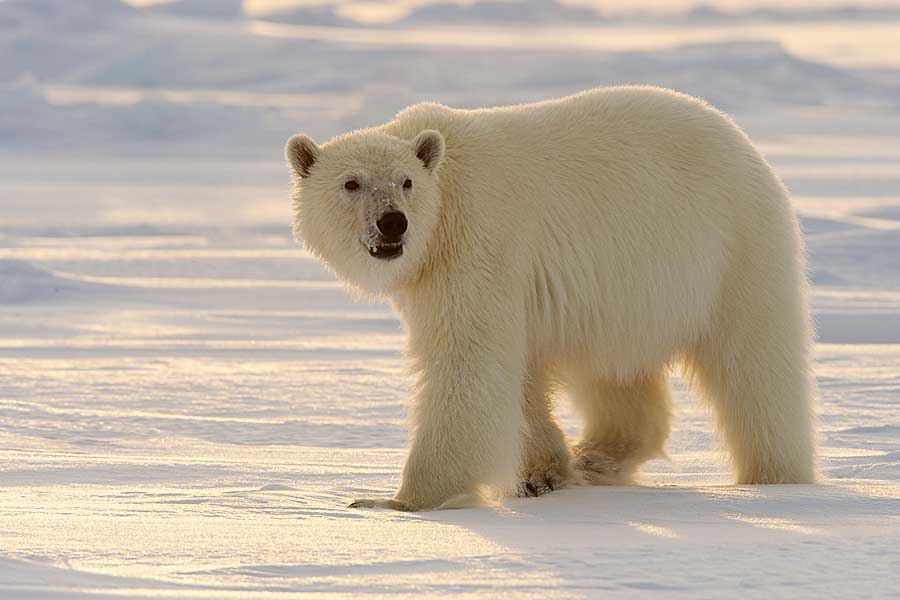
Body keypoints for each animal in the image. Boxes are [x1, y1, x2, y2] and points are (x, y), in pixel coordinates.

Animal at [286, 86, 816, 512]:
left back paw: (777, 476)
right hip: (623, 295)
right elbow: (520, 372)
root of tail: (742, 140)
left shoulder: (478, 244)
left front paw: (399, 501)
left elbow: (468, 364)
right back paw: (594, 457)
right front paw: (541, 473)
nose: (393, 222)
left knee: (755, 368)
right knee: (615, 375)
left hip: (734, 246)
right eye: (351, 183)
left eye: (406, 182)